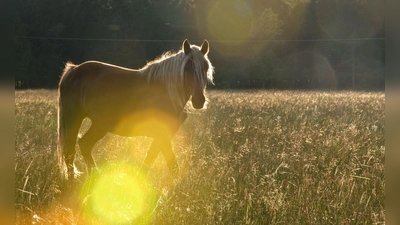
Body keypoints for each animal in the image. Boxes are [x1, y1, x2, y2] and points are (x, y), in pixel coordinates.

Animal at [57, 39, 214, 181]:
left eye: (206, 67)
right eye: (187, 67)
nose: (199, 101)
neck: (166, 92)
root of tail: (73, 69)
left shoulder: (163, 135)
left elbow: (151, 158)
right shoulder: (162, 134)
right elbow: (171, 164)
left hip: (100, 125)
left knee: (84, 144)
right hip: (73, 119)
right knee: (70, 151)